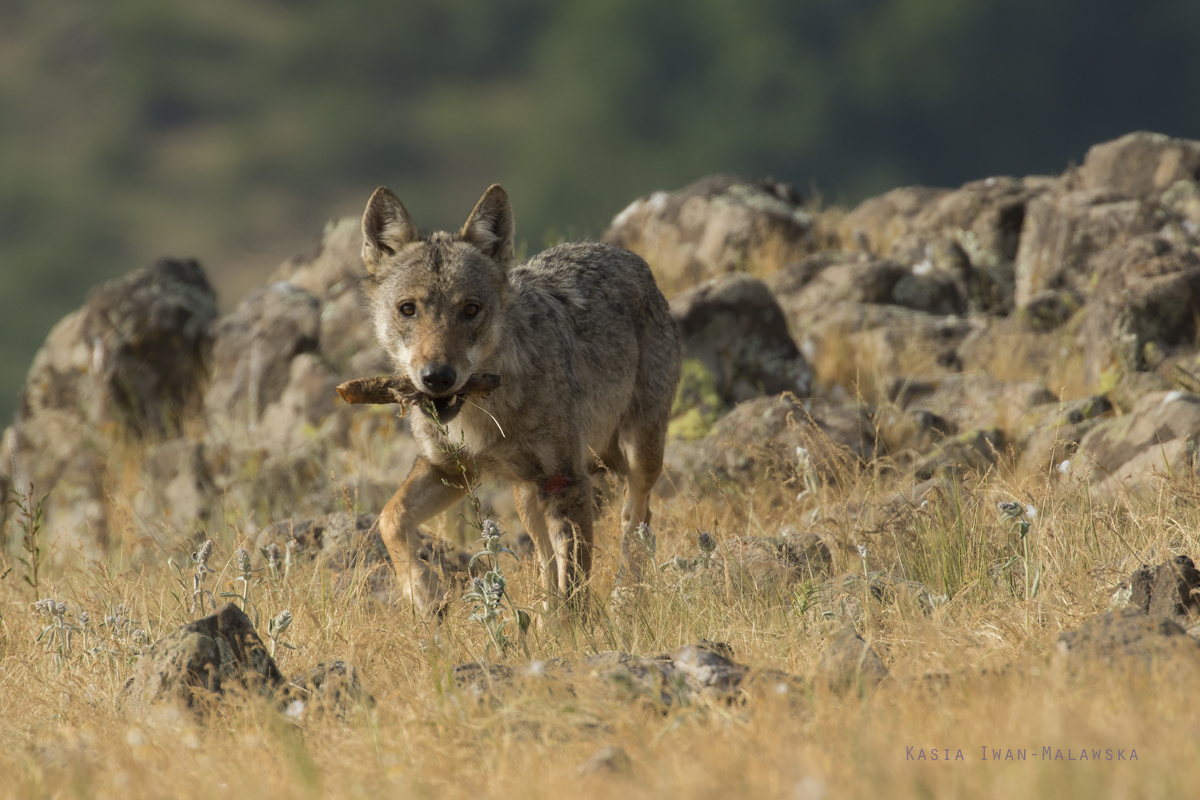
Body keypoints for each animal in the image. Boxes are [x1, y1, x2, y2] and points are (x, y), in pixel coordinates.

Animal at [357, 184, 686, 614]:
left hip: (638, 456)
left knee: (638, 513)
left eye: (471, 309)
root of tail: (625, 255)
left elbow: (575, 586)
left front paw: (578, 631)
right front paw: (423, 596)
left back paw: (625, 594)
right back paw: (548, 615)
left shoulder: (566, 481)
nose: (437, 378)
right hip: (527, 495)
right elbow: (390, 518)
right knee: (546, 559)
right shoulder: (453, 469)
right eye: (407, 309)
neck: (483, 412)